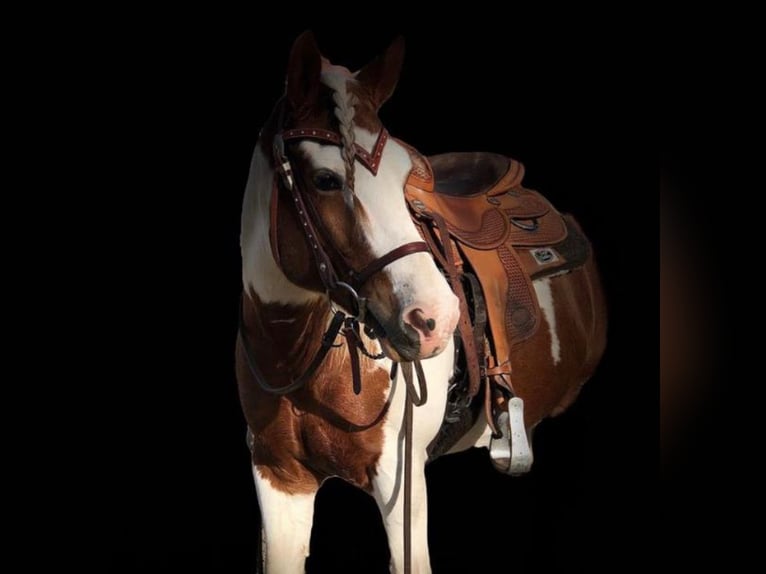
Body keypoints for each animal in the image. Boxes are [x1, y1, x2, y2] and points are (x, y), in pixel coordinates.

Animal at [236, 32, 607, 574]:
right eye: (326, 180)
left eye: (404, 179)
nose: (436, 319)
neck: (296, 354)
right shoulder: (278, 478)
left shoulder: (400, 482)